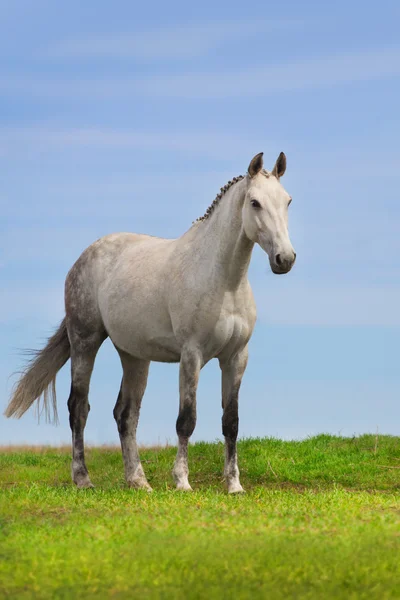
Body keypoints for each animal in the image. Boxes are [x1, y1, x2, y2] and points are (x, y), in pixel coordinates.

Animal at [4, 152, 296, 494]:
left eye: (287, 200)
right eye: (254, 202)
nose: (285, 259)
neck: (224, 281)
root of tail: (84, 257)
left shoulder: (236, 357)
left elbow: (231, 422)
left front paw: (234, 486)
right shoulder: (191, 355)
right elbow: (187, 420)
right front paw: (182, 481)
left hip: (134, 356)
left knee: (125, 415)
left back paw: (138, 480)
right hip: (84, 342)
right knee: (78, 408)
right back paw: (83, 479)